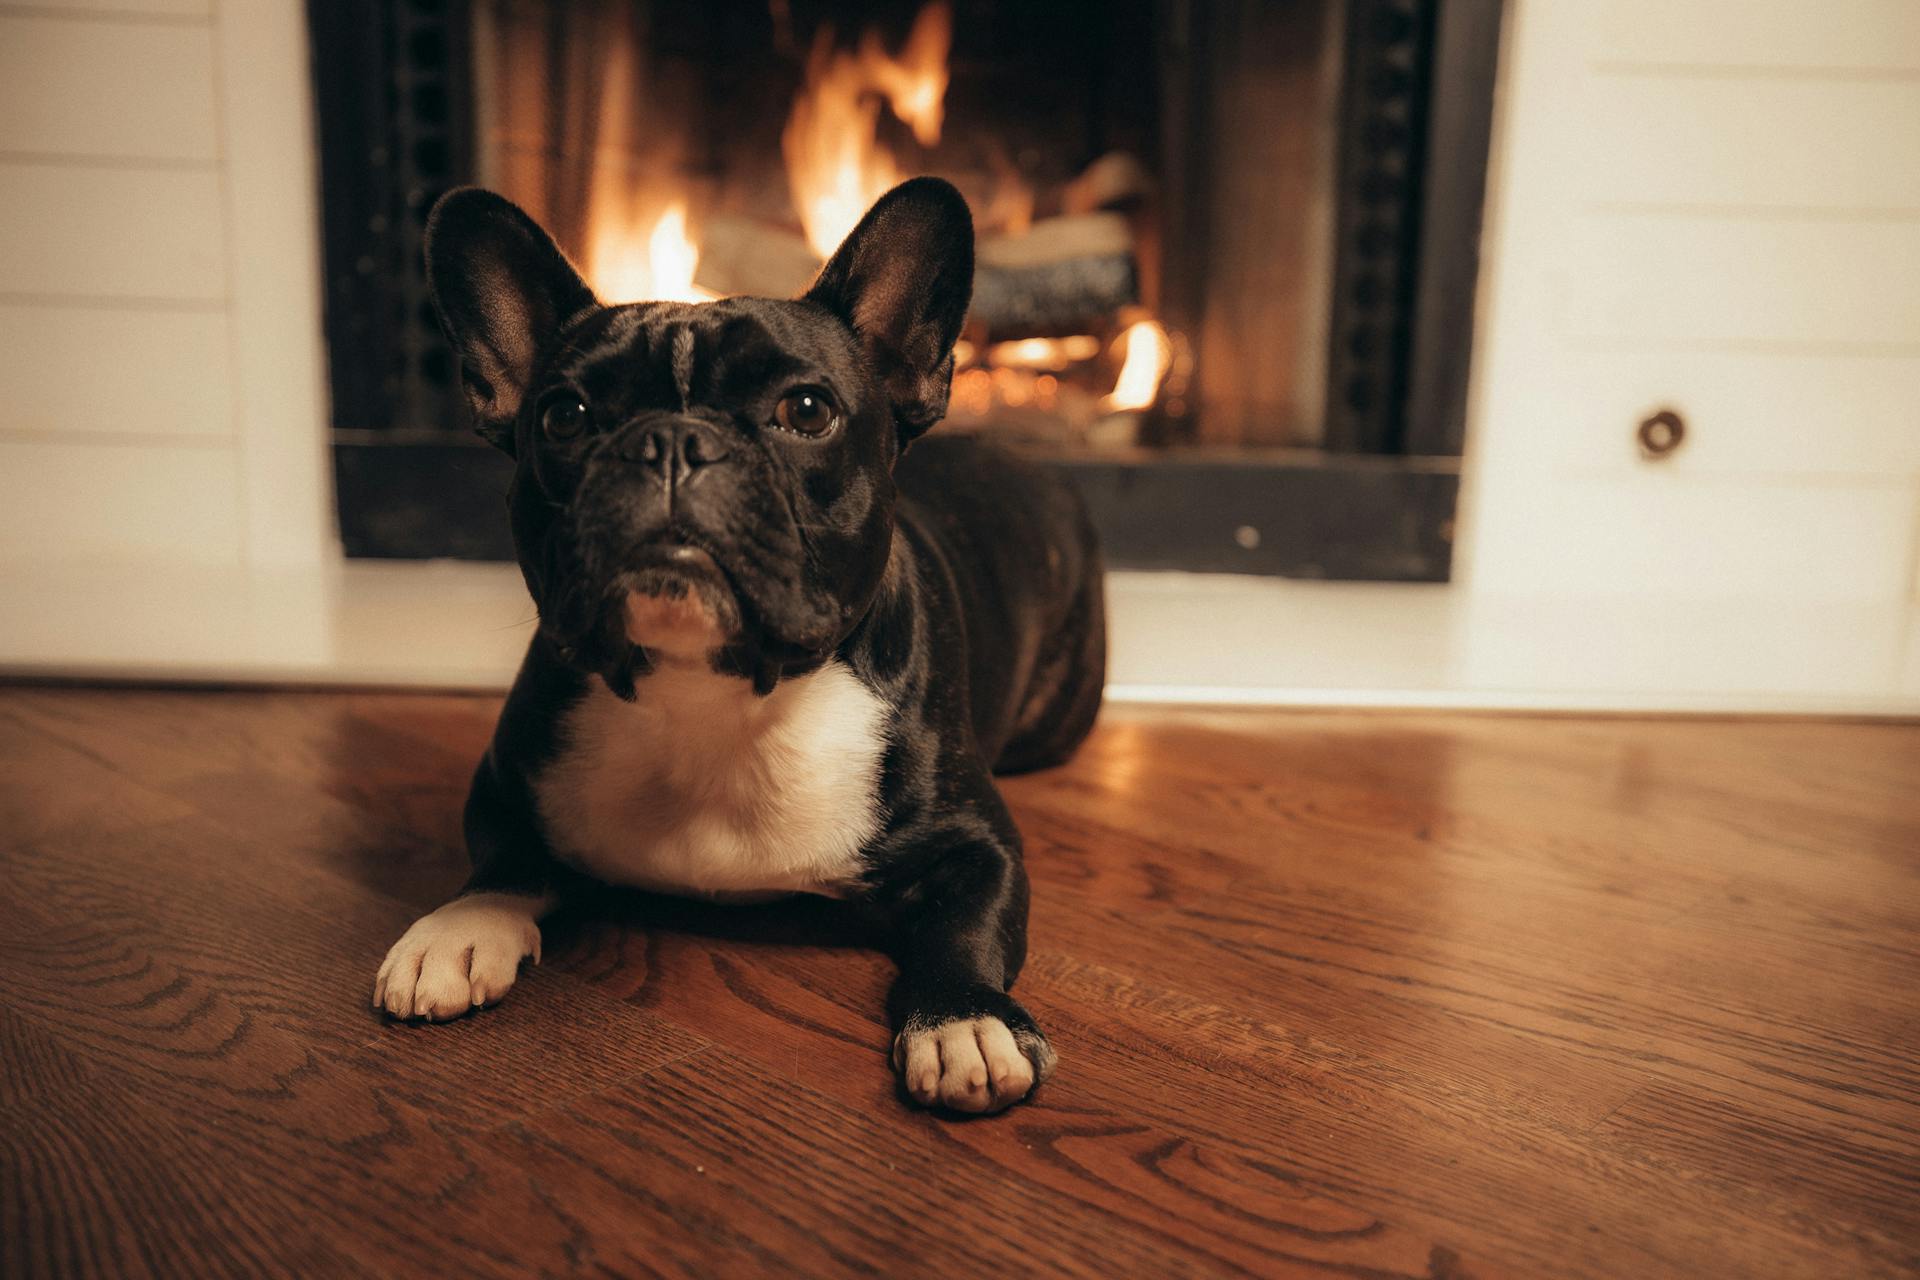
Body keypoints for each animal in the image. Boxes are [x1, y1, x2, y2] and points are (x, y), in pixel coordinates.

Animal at [368, 177, 1105, 1113]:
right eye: (566, 416)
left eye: (807, 411)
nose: (673, 440)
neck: (709, 692)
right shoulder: (505, 780)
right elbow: (503, 859)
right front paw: (457, 928)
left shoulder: (978, 843)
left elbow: (966, 928)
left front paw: (962, 1018)